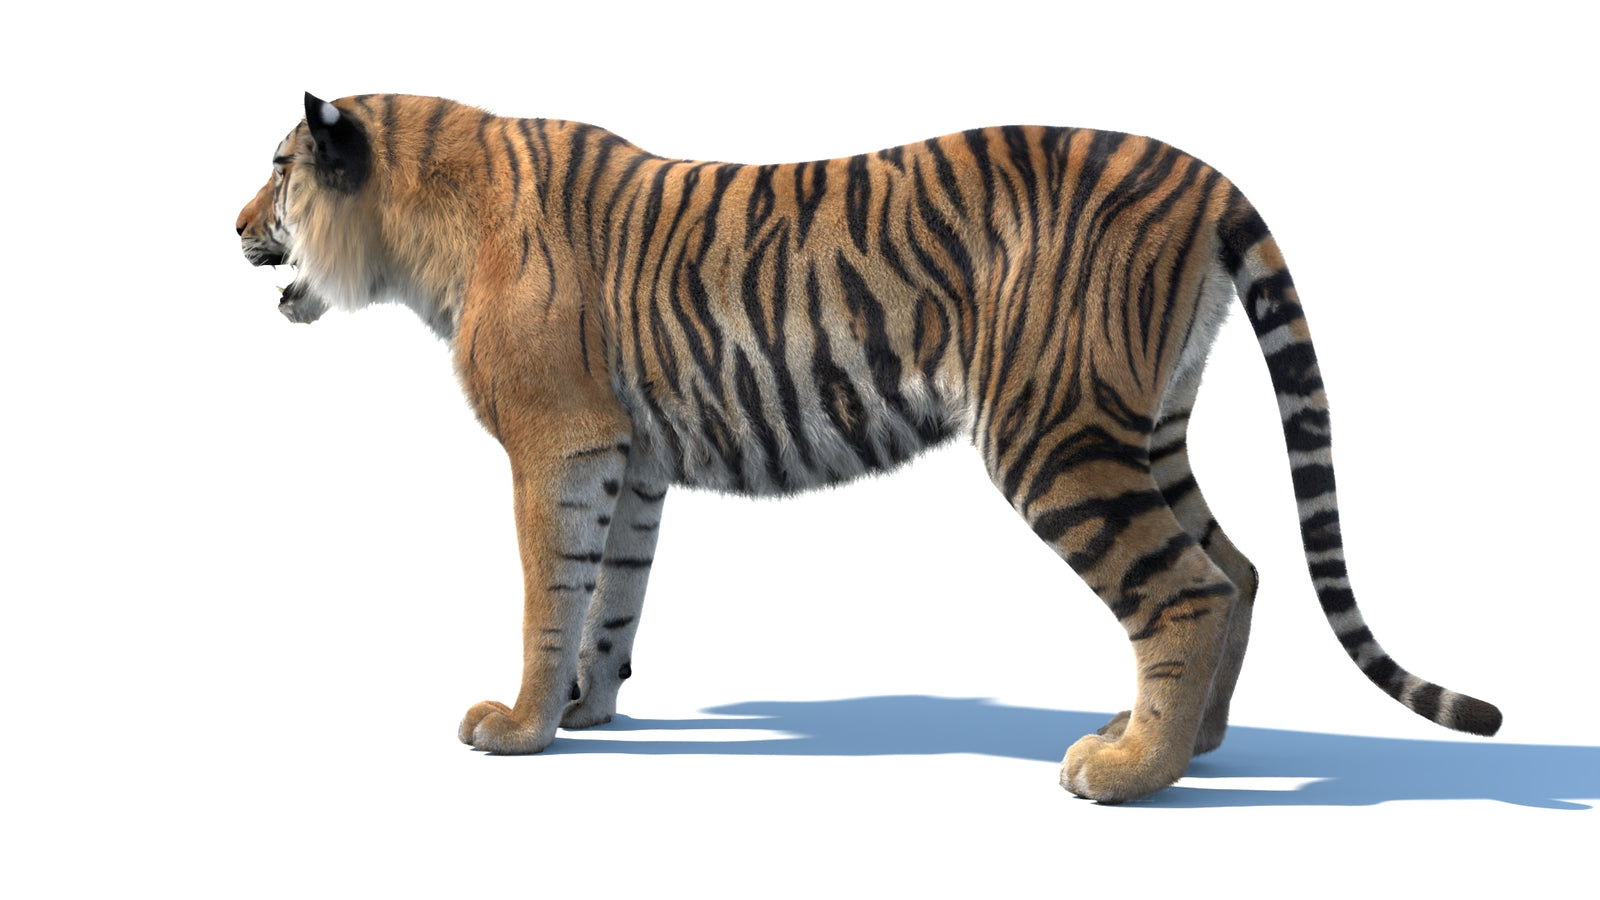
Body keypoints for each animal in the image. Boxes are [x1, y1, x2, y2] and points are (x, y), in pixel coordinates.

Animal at [236, 92, 1500, 803]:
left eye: (281, 170)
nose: (235, 224)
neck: (415, 231)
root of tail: (1204, 175)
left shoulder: (558, 443)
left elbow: (550, 591)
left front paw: (516, 730)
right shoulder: (629, 457)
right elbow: (612, 593)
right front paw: (590, 712)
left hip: (1055, 433)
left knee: (1187, 586)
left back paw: (1129, 775)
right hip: (1139, 424)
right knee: (1236, 568)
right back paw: (1184, 742)